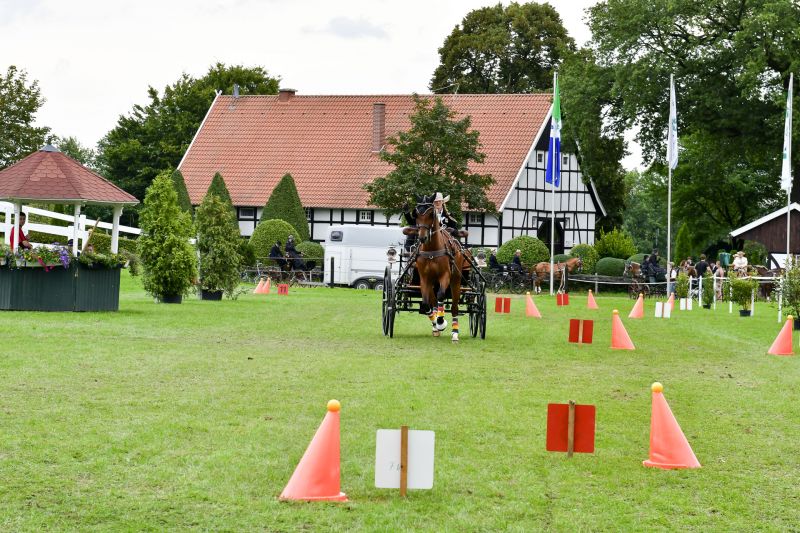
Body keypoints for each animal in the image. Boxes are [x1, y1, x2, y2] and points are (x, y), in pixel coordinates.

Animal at [414, 195, 469, 342]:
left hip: (455, 280)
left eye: (430, 214)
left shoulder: (445, 276)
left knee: (454, 306)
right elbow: (426, 303)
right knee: (433, 301)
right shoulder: (425, 279)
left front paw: (441, 322)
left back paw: (455, 333)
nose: (422, 237)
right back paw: (435, 327)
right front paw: (436, 323)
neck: (431, 250)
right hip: (432, 282)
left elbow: (441, 295)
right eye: (416, 214)